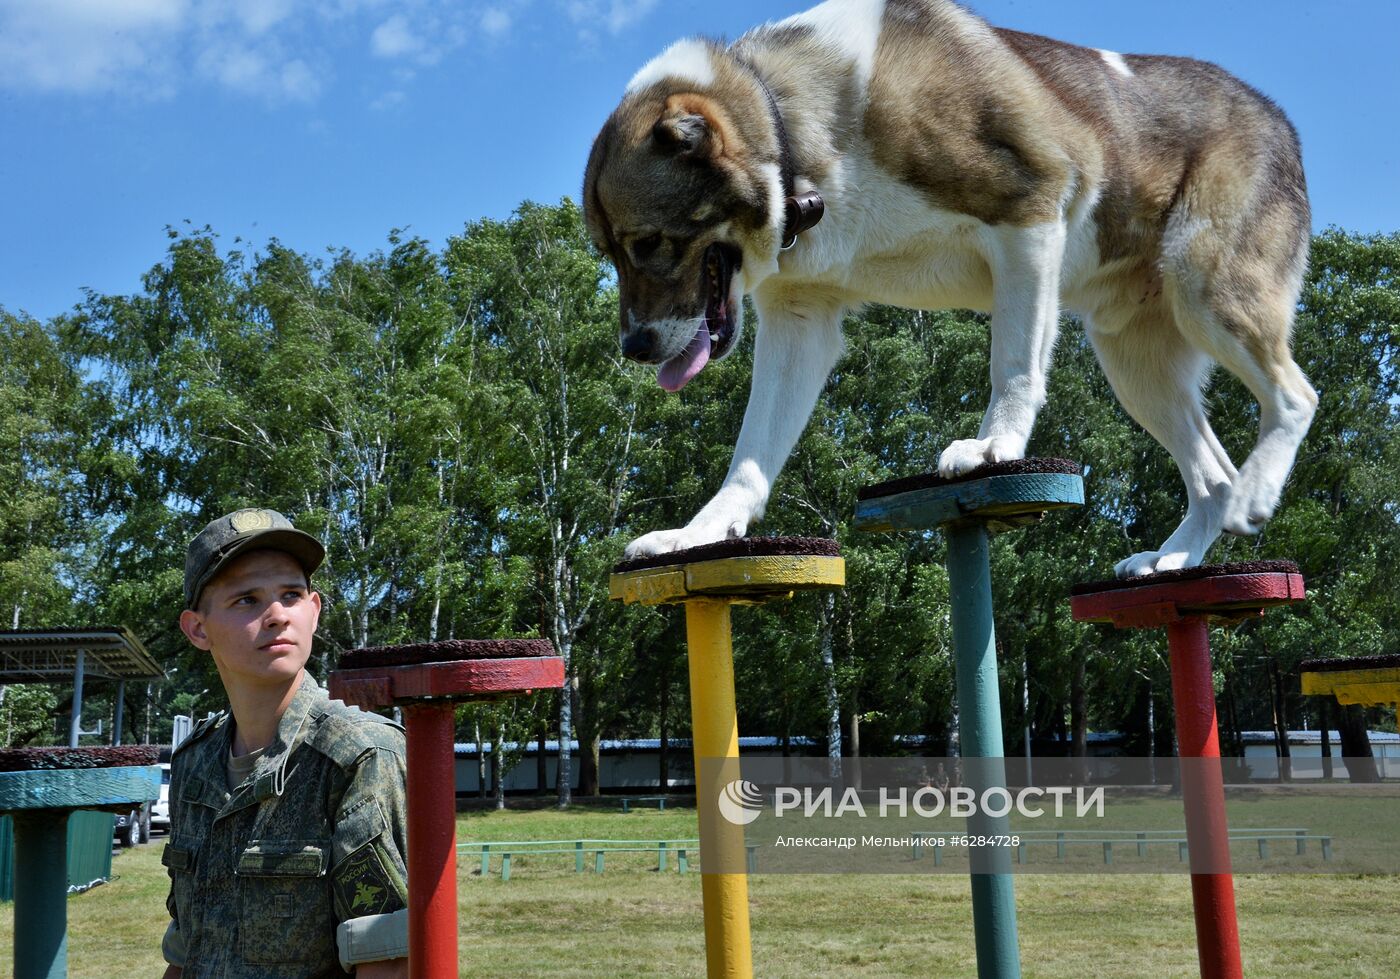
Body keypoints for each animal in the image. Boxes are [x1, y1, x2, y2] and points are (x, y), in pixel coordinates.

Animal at [579, 0, 1310, 577]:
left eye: (648, 243)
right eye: (609, 252)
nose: (635, 349)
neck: (790, 131)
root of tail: (1279, 117)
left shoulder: (1029, 216)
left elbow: (1013, 363)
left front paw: (994, 447)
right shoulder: (800, 321)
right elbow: (751, 451)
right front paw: (700, 533)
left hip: (1206, 289)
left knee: (1295, 397)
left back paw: (1256, 493)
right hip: (1136, 363)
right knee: (1212, 478)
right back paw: (1176, 556)